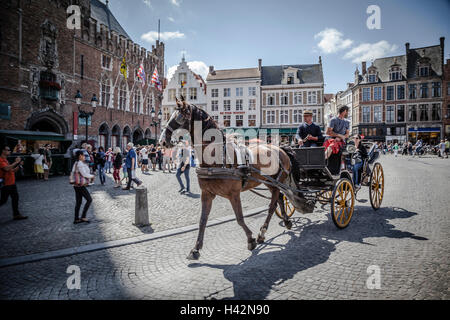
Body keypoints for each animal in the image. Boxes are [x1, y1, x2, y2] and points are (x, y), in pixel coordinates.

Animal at [158, 95, 292, 260]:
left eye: (180, 117)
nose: (162, 141)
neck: (217, 157)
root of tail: (281, 149)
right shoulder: (206, 194)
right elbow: (202, 220)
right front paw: (195, 249)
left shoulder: (234, 194)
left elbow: (239, 218)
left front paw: (250, 239)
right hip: (270, 182)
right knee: (279, 198)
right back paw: (284, 221)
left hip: (278, 182)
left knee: (272, 205)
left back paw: (262, 231)